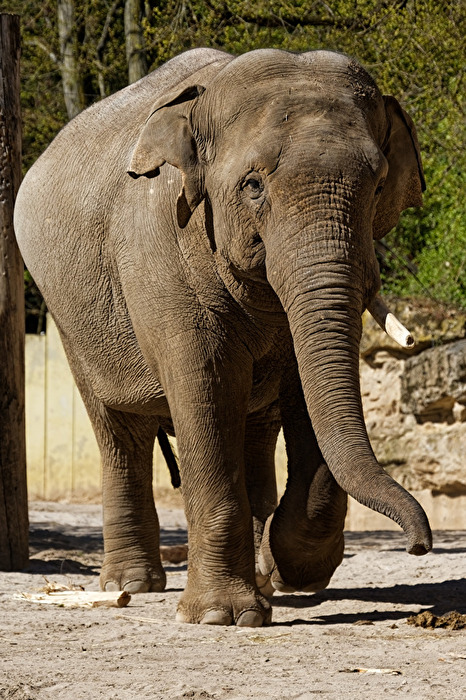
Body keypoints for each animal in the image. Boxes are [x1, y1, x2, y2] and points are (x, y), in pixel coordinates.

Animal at [14, 47, 432, 627]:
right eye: (252, 186)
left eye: (377, 184)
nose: (419, 545)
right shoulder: (162, 249)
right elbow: (205, 389)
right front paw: (223, 617)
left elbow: (304, 395)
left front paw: (289, 570)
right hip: (68, 312)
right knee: (120, 431)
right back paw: (131, 585)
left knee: (253, 431)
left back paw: (262, 579)